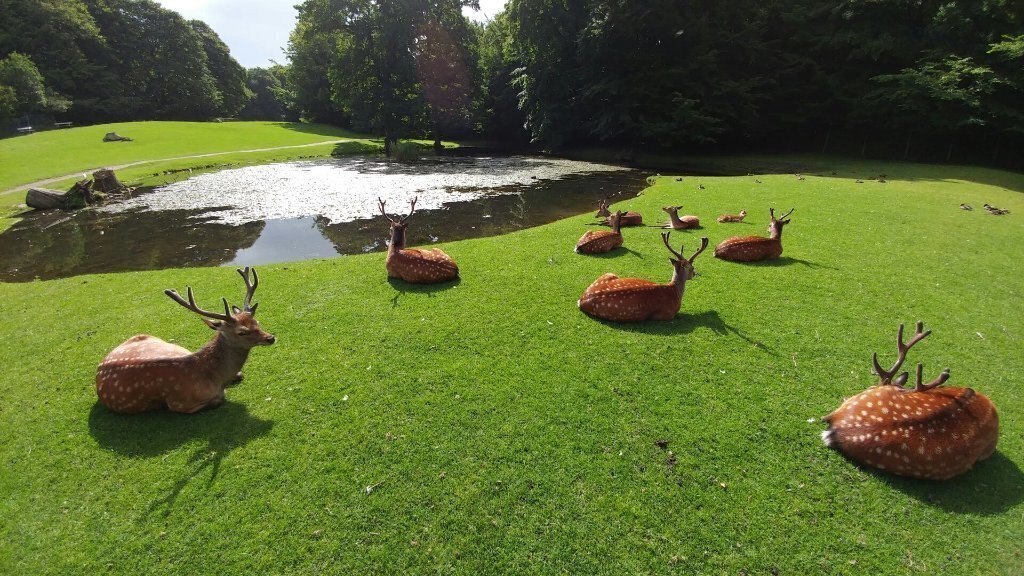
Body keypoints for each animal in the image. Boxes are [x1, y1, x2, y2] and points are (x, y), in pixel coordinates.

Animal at [95, 267, 275, 414]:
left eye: (257, 322)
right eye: (242, 332)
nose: (270, 338)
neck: (213, 377)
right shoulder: (179, 404)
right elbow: (220, 398)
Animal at [578, 233, 708, 322]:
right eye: (692, 267)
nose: (694, 274)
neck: (674, 291)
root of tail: (581, 300)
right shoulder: (667, 315)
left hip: (608, 273)